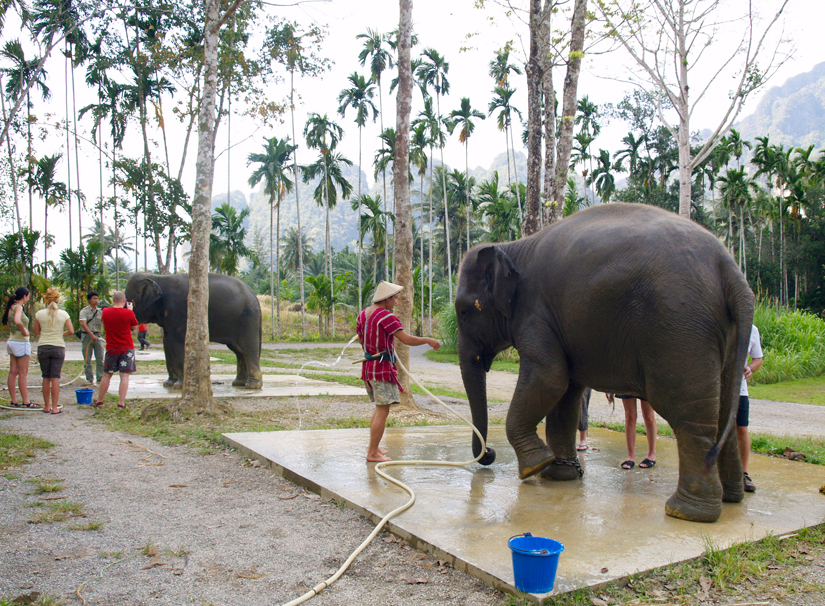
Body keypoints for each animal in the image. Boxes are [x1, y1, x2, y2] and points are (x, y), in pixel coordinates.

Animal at [125, 272, 263, 389]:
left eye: (128, 301)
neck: (157, 277)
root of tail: (255, 296)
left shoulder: (178, 311)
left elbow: (176, 343)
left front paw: (178, 386)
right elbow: (167, 344)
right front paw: (168, 384)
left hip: (246, 319)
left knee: (248, 349)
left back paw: (252, 386)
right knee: (238, 351)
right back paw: (239, 383)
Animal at [456, 203, 754, 523]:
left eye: (463, 312)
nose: (489, 454)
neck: (513, 246)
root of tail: (732, 271)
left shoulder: (535, 313)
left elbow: (549, 378)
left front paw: (534, 467)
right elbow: (565, 394)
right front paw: (560, 474)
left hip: (679, 327)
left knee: (688, 413)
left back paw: (686, 512)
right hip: (723, 334)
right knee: (725, 411)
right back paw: (730, 498)